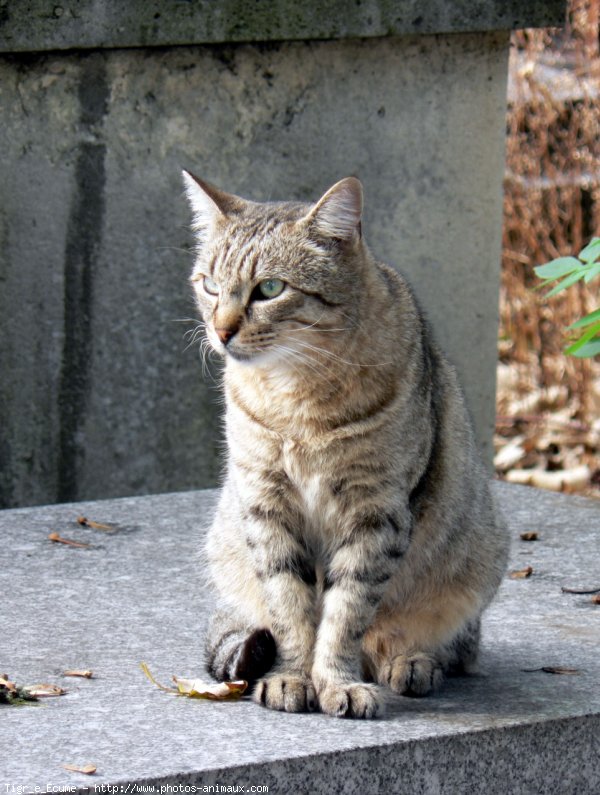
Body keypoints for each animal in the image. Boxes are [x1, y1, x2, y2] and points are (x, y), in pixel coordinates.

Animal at [182, 174, 506, 720]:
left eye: (270, 289)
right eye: (209, 284)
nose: (221, 331)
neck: (296, 395)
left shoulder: (376, 510)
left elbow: (347, 610)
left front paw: (336, 681)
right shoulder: (265, 502)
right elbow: (289, 606)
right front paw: (292, 676)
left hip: (478, 557)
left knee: (451, 645)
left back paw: (412, 661)